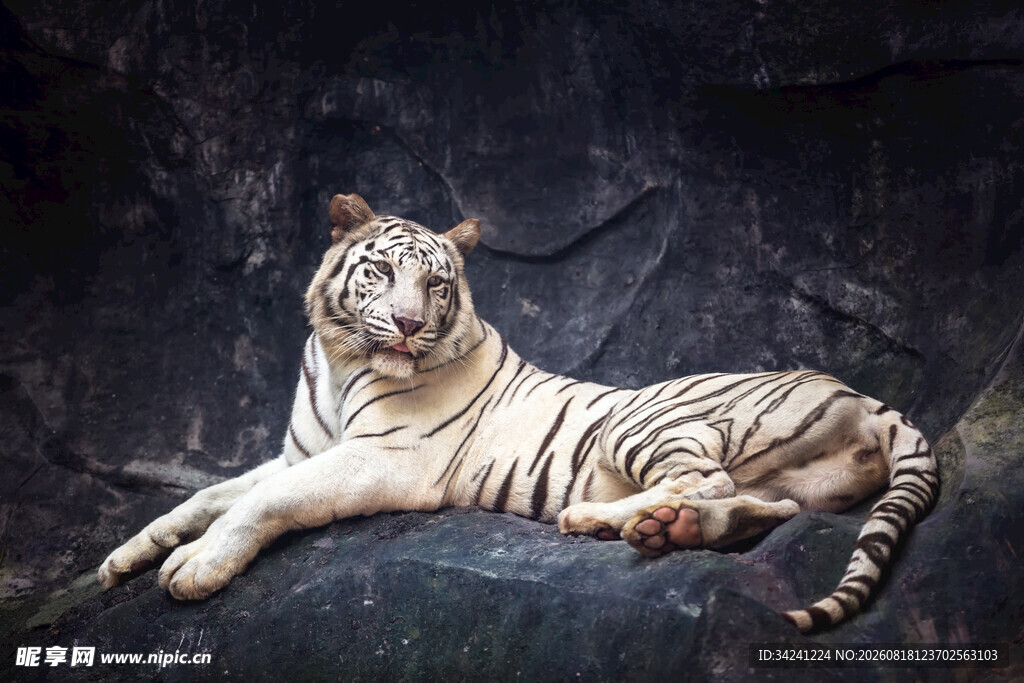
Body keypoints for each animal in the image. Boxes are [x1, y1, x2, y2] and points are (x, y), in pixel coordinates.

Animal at [97, 193, 939, 633]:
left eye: (436, 284)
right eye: (382, 272)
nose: (408, 324)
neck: (340, 362)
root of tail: (870, 398)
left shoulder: (383, 458)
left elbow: (262, 500)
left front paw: (194, 567)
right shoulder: (300, 450)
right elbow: (208, 493)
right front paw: (126, 556)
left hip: (644, 422)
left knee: (711, 482)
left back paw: (597, 520)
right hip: (766, 476)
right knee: (764, 506)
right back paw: (654, 530)